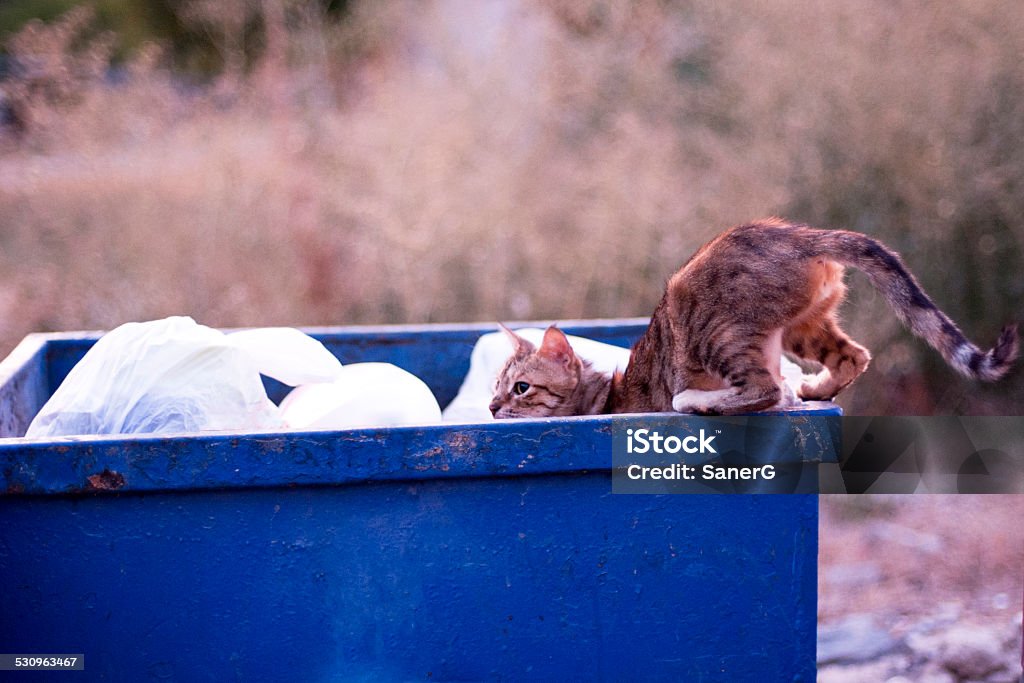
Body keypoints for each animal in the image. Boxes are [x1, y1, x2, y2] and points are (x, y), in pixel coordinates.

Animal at [487, 219, 1015, 417]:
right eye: (495, 385)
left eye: (521, 388)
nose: (491, 407)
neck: (602, 400)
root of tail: (799, 234)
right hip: (801, 328)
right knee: (853, 356)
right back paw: (812, 391)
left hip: (708, 329)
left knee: (760, 390)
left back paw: (700, 402)